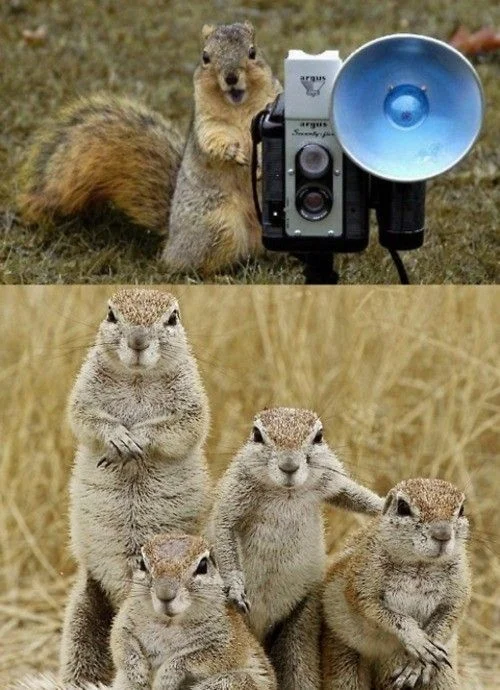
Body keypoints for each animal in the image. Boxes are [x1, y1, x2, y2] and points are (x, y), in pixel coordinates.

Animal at [16, 22, 282, 274]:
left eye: (253, 52)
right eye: (205, 57)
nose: (230, 77)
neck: (239, 108)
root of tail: (172, 238)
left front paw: (260, 164)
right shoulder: (207, 124)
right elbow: (214, 141)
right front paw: (233, 152)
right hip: (217, 225)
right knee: (191, 264)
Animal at [60, 286, 211, 684]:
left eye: (172, 318)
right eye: (112, 315)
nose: (138, 341)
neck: (137, 378)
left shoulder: (191, 398)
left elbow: (183, 425)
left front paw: (138, 438)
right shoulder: (84, 390)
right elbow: (83, 416)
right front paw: (118, 438)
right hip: (83, 613)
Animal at [109, 532, 278, 688]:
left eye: (203, 566)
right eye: (142, 564)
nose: (165, 594)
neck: (168, 623)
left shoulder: (227, 642)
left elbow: (191, 658)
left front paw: (165, 679)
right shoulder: (124, 619)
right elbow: (120, 643)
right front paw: (138, 674)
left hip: (233, 681)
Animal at [207, 406, 382, 688]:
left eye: (319, 436)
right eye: (257, 435)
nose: (289, 466)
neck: (285, 492)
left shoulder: (330, 478)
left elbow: (353, 495)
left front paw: (387, 503)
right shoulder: (234, 494)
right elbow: (224, 530)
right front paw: (235, 587)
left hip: (301, 624)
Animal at [322, 476, 470, 684]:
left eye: (462, 509)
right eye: (403, 507)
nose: (443, 535)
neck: (420, 565)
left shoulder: (460, 586)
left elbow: (451, 615)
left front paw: (417, 665)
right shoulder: (362, 577)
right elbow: (374, 608)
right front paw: (416, 638)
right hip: (342, 659)